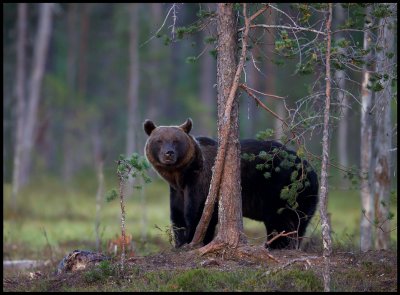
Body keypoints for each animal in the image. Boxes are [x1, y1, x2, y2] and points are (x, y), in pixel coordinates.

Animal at [144, 118, 318, 250]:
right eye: (159, 140)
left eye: (176, 140)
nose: (169, 154)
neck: (183, 175)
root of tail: (309, 168)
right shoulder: (178, 191)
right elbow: (178, 216)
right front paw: (180, 243)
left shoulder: (202, 182)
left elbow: (199, 214)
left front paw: (195, 241)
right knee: (299, 222)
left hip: (282, 188)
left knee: (280, 219)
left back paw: (275, 245)